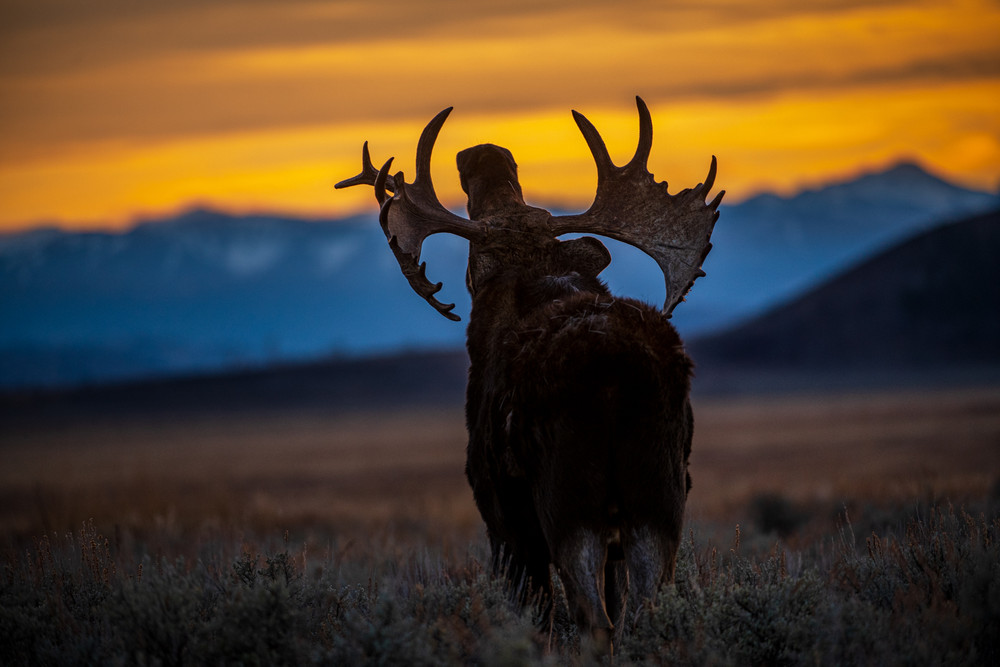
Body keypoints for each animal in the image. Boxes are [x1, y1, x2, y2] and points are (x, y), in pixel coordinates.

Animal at [336, 96, 723, 654]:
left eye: (475, 265)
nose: (485, 152)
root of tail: (614, 368)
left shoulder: (502, 514)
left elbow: (533, 613)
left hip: (567, 504)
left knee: (593, 621)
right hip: (659, 500)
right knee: (645, 613)